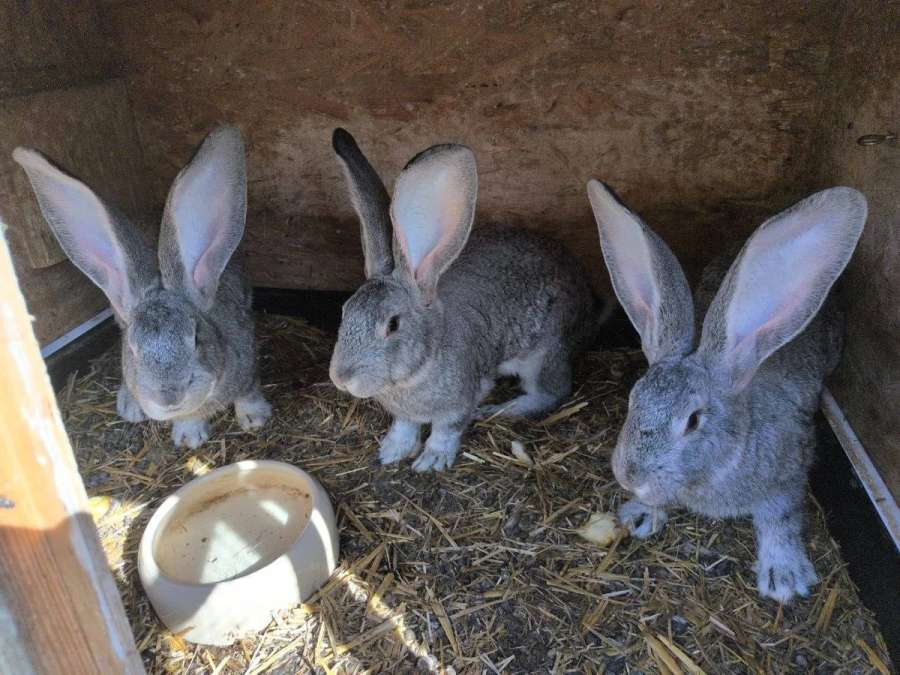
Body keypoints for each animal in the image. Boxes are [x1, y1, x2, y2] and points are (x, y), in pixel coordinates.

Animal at [13, 127, 271, 449]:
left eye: (196, 338)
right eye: (133, 350)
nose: (169, 396)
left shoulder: (248, 358)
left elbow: (248, 391)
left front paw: (255, 418)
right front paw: (188, 437)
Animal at [328, 128, 598, 472]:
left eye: (393, 324)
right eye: (344, 311)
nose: (341, 377)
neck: (420, 367)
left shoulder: (461, 401)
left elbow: (447, 429)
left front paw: (431, 460)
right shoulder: (405, 414)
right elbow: (404, 426)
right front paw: (391, 451)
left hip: (545, 352)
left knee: (549, 392)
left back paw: (502, 409)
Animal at [587, 180, 866, 603]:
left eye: (693, 420)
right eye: (634, 398)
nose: (630, 475)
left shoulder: (788, 475)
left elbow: (780, 517)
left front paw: (784, 576)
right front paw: (640, 513)